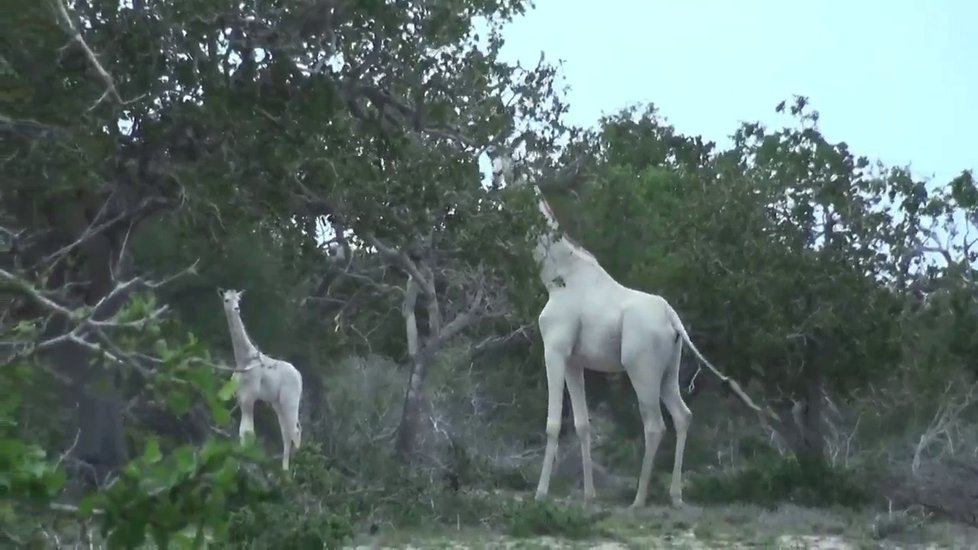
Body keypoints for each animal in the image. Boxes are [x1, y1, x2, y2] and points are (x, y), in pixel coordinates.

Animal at [219, 286, 304, 472]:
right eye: (226, 300)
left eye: (239, 300)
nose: (236, 309)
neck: (243, 359)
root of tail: (299, 376)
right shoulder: (241, 397)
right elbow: (243, 432)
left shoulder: (249, 396)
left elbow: (248, 432)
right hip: (277, 403)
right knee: (286, 433)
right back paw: (285, 470)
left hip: (290, 400)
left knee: (295, 431)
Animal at [492, 150, 768, 508]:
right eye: (492, 167)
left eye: (509, 170)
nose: (495, 188)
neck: (557, 277)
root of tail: (673, 319)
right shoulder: (574, 360)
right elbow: (582, 425)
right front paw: (589, 495)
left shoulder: (553, 349)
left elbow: (553, 424)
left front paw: (540, 494)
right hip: (668, 370)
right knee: (682, 415)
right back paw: (675, 496)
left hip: (641, 368)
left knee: (654, 425)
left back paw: (638, 499)